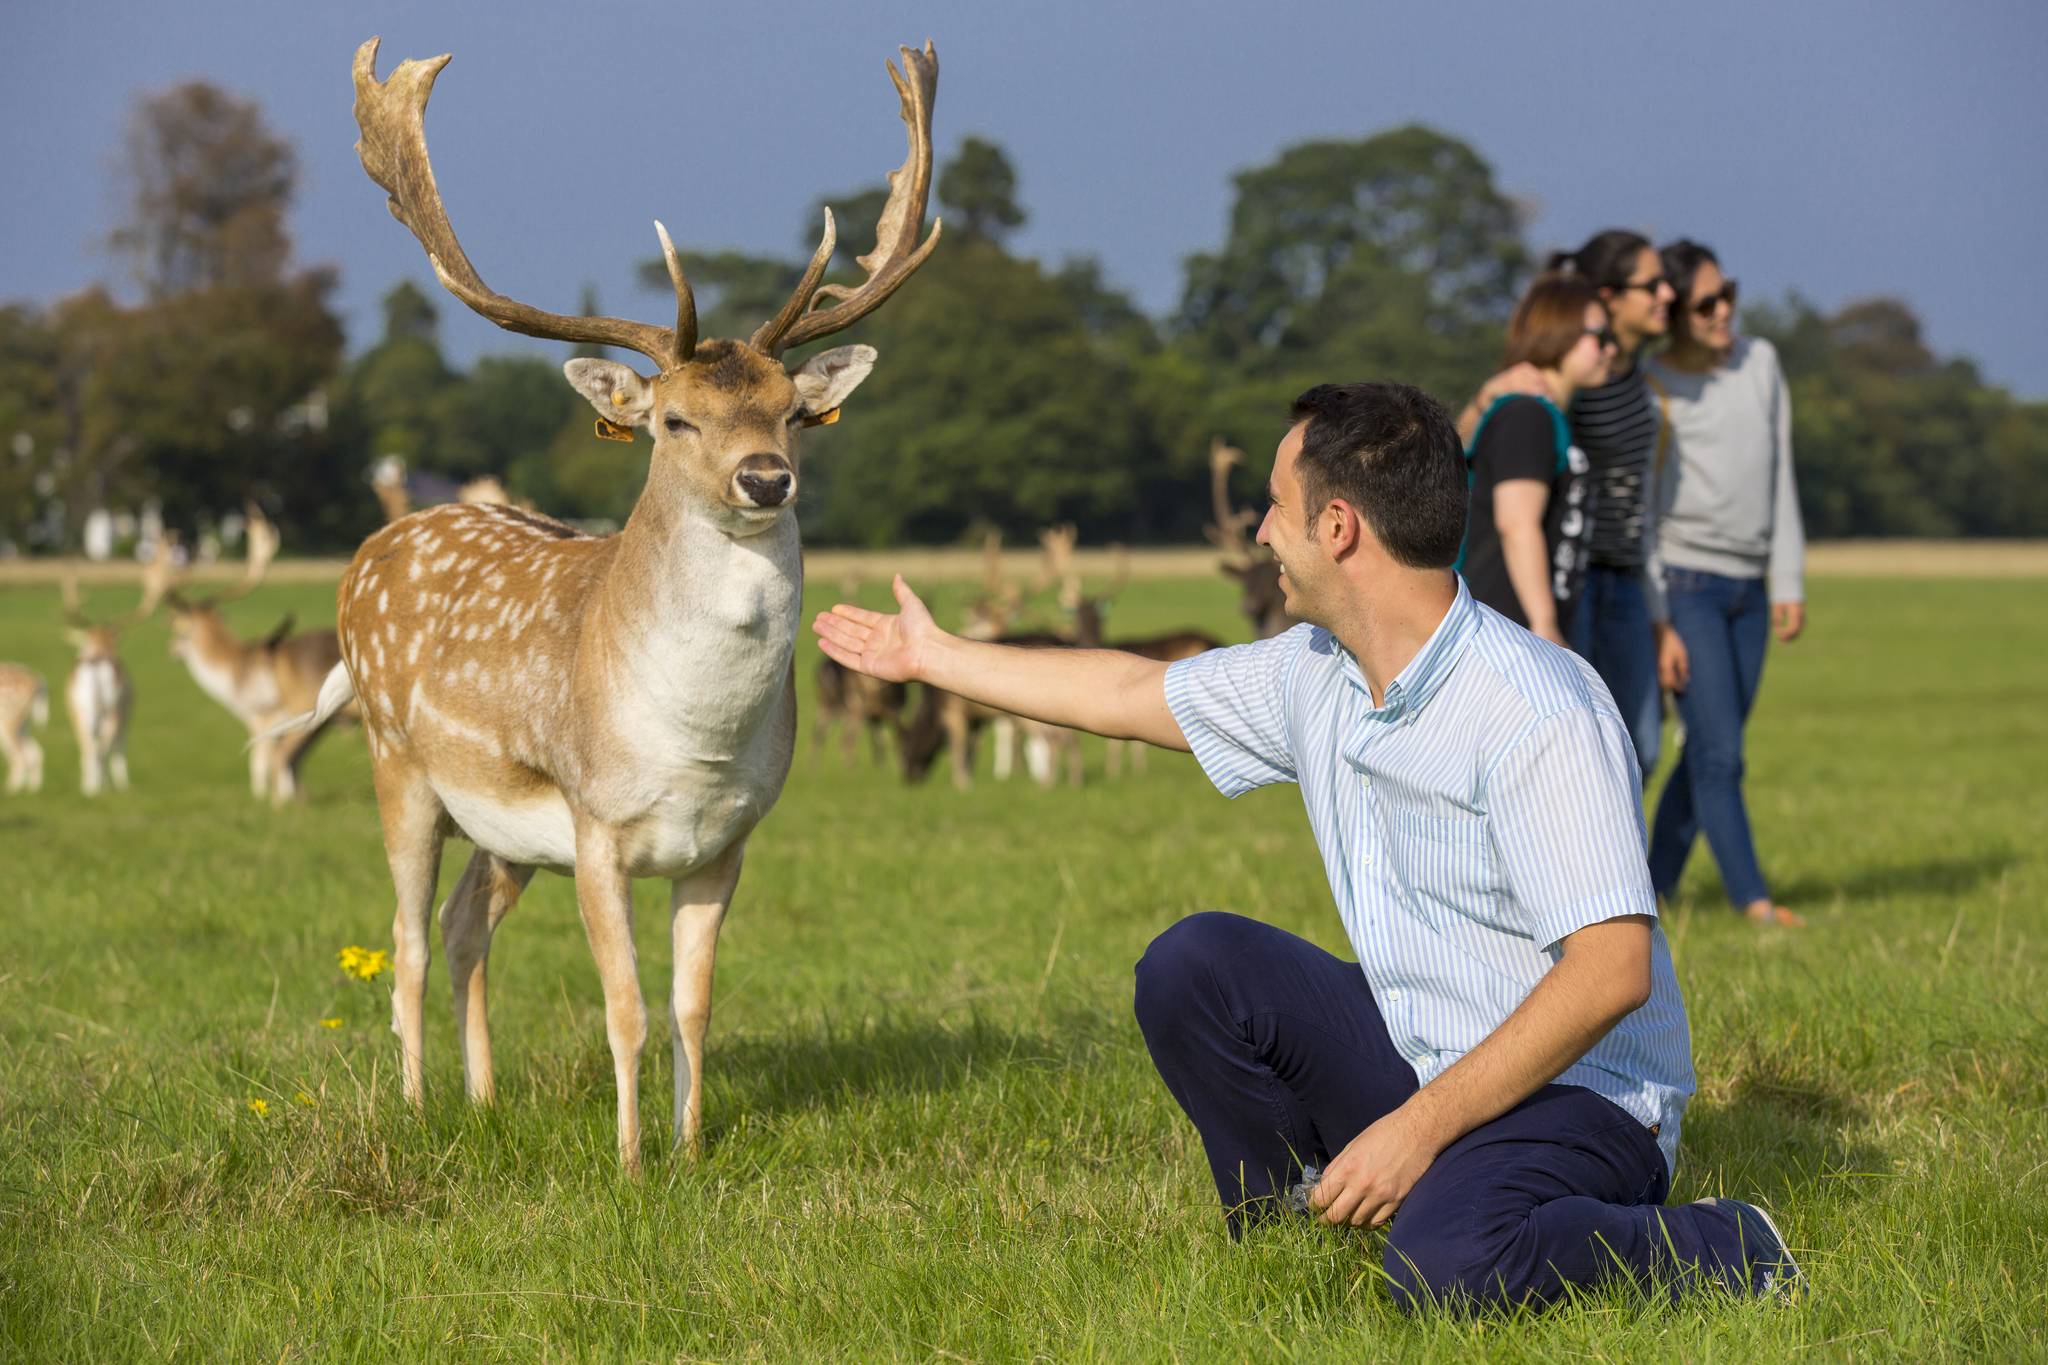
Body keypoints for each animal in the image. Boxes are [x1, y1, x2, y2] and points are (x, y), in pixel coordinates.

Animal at [0, 658, 47, 789]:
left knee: (21, 758)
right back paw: (34, 788)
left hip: (9, 720)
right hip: (23, 723)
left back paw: (12, 790)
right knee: (35, 753)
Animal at [61, 548, 171, 794]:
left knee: (91, 745)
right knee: (102, 745)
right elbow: (119, 747)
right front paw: (121, 785)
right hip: (112, 708)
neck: (101, 645)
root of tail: (97, 665)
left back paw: (91, 788)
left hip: (86, 709)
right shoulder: (128, 710)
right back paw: (98, 787)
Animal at [164, 507, 356, 806]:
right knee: (292, 760)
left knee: (283, 758)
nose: (170, 649)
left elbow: (258, 764)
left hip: (305, 709)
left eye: (175, 626)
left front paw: (262, 800)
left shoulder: (261, 717)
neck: (234, 675)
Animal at [274, 42, 942, 1178]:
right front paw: (631, 1165)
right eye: (673, 420)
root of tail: (373, 546)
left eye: (794, 413)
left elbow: (692, 1007)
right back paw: (416, 1106)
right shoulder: (596, 824)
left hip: (503, 827)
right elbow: (624, 1007)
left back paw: (485, 1100)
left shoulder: (724, 842)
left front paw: (691, 1147)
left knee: (462, 924)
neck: (694, 743)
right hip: (396, 758)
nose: (766, 479)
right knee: (403, 938)